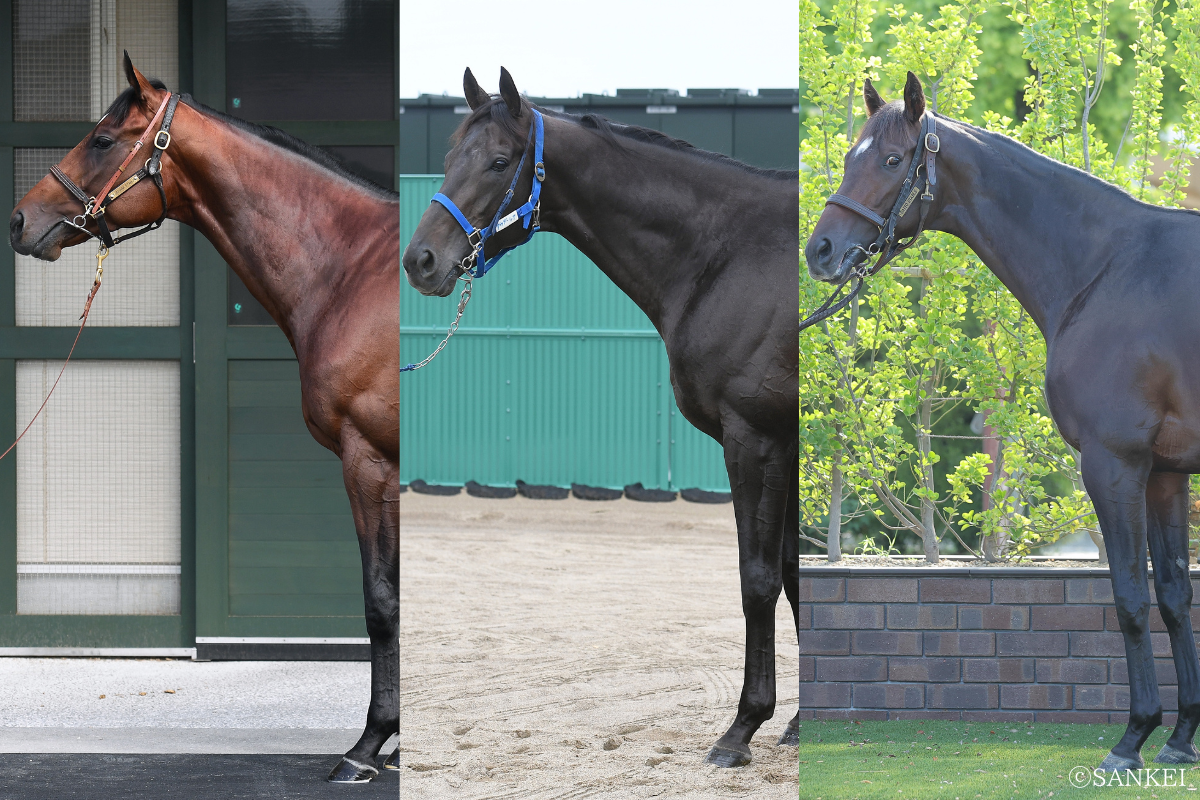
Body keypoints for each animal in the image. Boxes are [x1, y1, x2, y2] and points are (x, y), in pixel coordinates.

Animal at [8, 54, 398, 784]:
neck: (358, 268)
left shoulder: (370, 460)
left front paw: (366, 748)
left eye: (102, 139)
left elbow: (379, 599)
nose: (19, 220)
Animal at [402, 67, 800, 768]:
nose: (421, 260)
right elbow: (799, 576)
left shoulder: (757, 439)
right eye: (448, 159)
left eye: (499, 161)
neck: (728, 254)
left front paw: (743, 728)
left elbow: (760, 577)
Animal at [806, 71, 1200, 772]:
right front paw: (1180, 739)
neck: (1107, 269)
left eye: (891, 160)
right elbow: (1176, 595)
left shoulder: (1114, 464)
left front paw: (1132, 738)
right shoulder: (1164, 472)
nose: (820, 251)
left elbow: (1130, 596)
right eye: (852, 155)